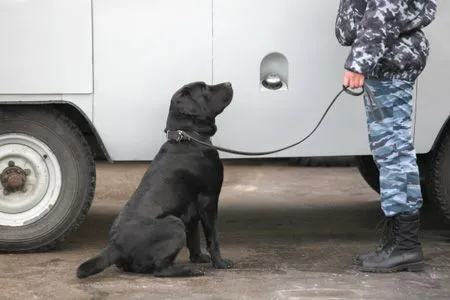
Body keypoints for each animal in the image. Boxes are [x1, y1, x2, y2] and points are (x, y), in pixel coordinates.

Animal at [76, 81, 234, 278]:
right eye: (204, 88)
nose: (229, 83)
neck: (188, 138)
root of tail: (115, 246)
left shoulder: (191, 210)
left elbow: (195, 237)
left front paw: (198, 258)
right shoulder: (209, 200)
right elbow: (213, 237)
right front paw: (220, 263)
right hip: (174, 224)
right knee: (160, 270)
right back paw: (189, 270)